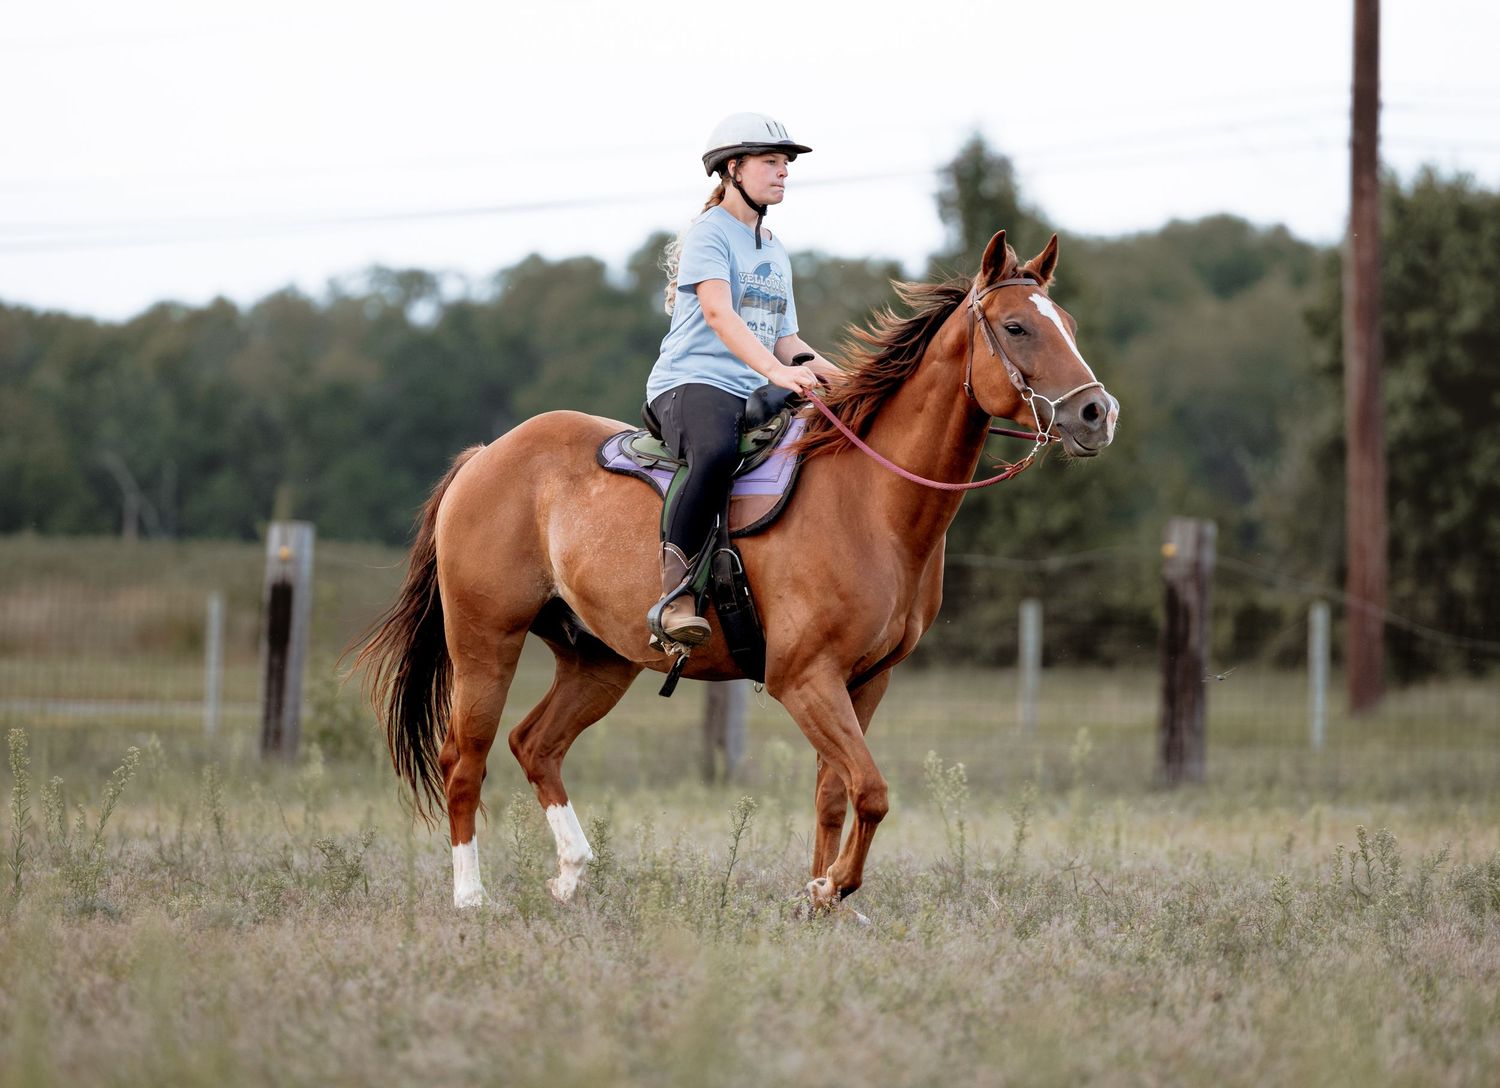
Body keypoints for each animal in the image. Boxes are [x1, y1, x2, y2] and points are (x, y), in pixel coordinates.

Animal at [356, 230, 1118, 912]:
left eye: (1069, 325)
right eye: (1016, 326)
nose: (1096, 412)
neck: (870, 501)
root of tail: (486, 457)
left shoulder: (865, 681)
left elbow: (836, 795)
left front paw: (822, 901)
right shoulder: (804, 680)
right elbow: (871, 792)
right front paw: (832, 887)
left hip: (599, 661)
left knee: (535, 745)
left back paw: (573, 874)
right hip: (486, 642)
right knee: (465, 761)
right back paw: (471, 898)